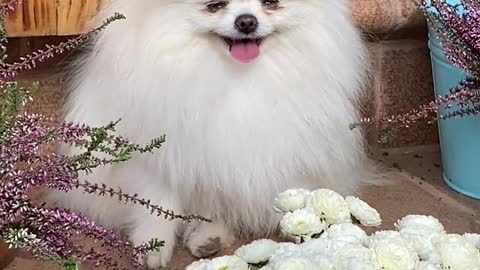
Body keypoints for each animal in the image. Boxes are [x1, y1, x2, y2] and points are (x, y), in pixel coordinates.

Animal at [47, 0, 378, 266]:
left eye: (271, 3)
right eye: (214, 5)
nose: (246, 21)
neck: (234, 76)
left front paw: (300, 226)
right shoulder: (158, 153)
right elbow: (158, 203)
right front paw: (153, 246)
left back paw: (209, 236)